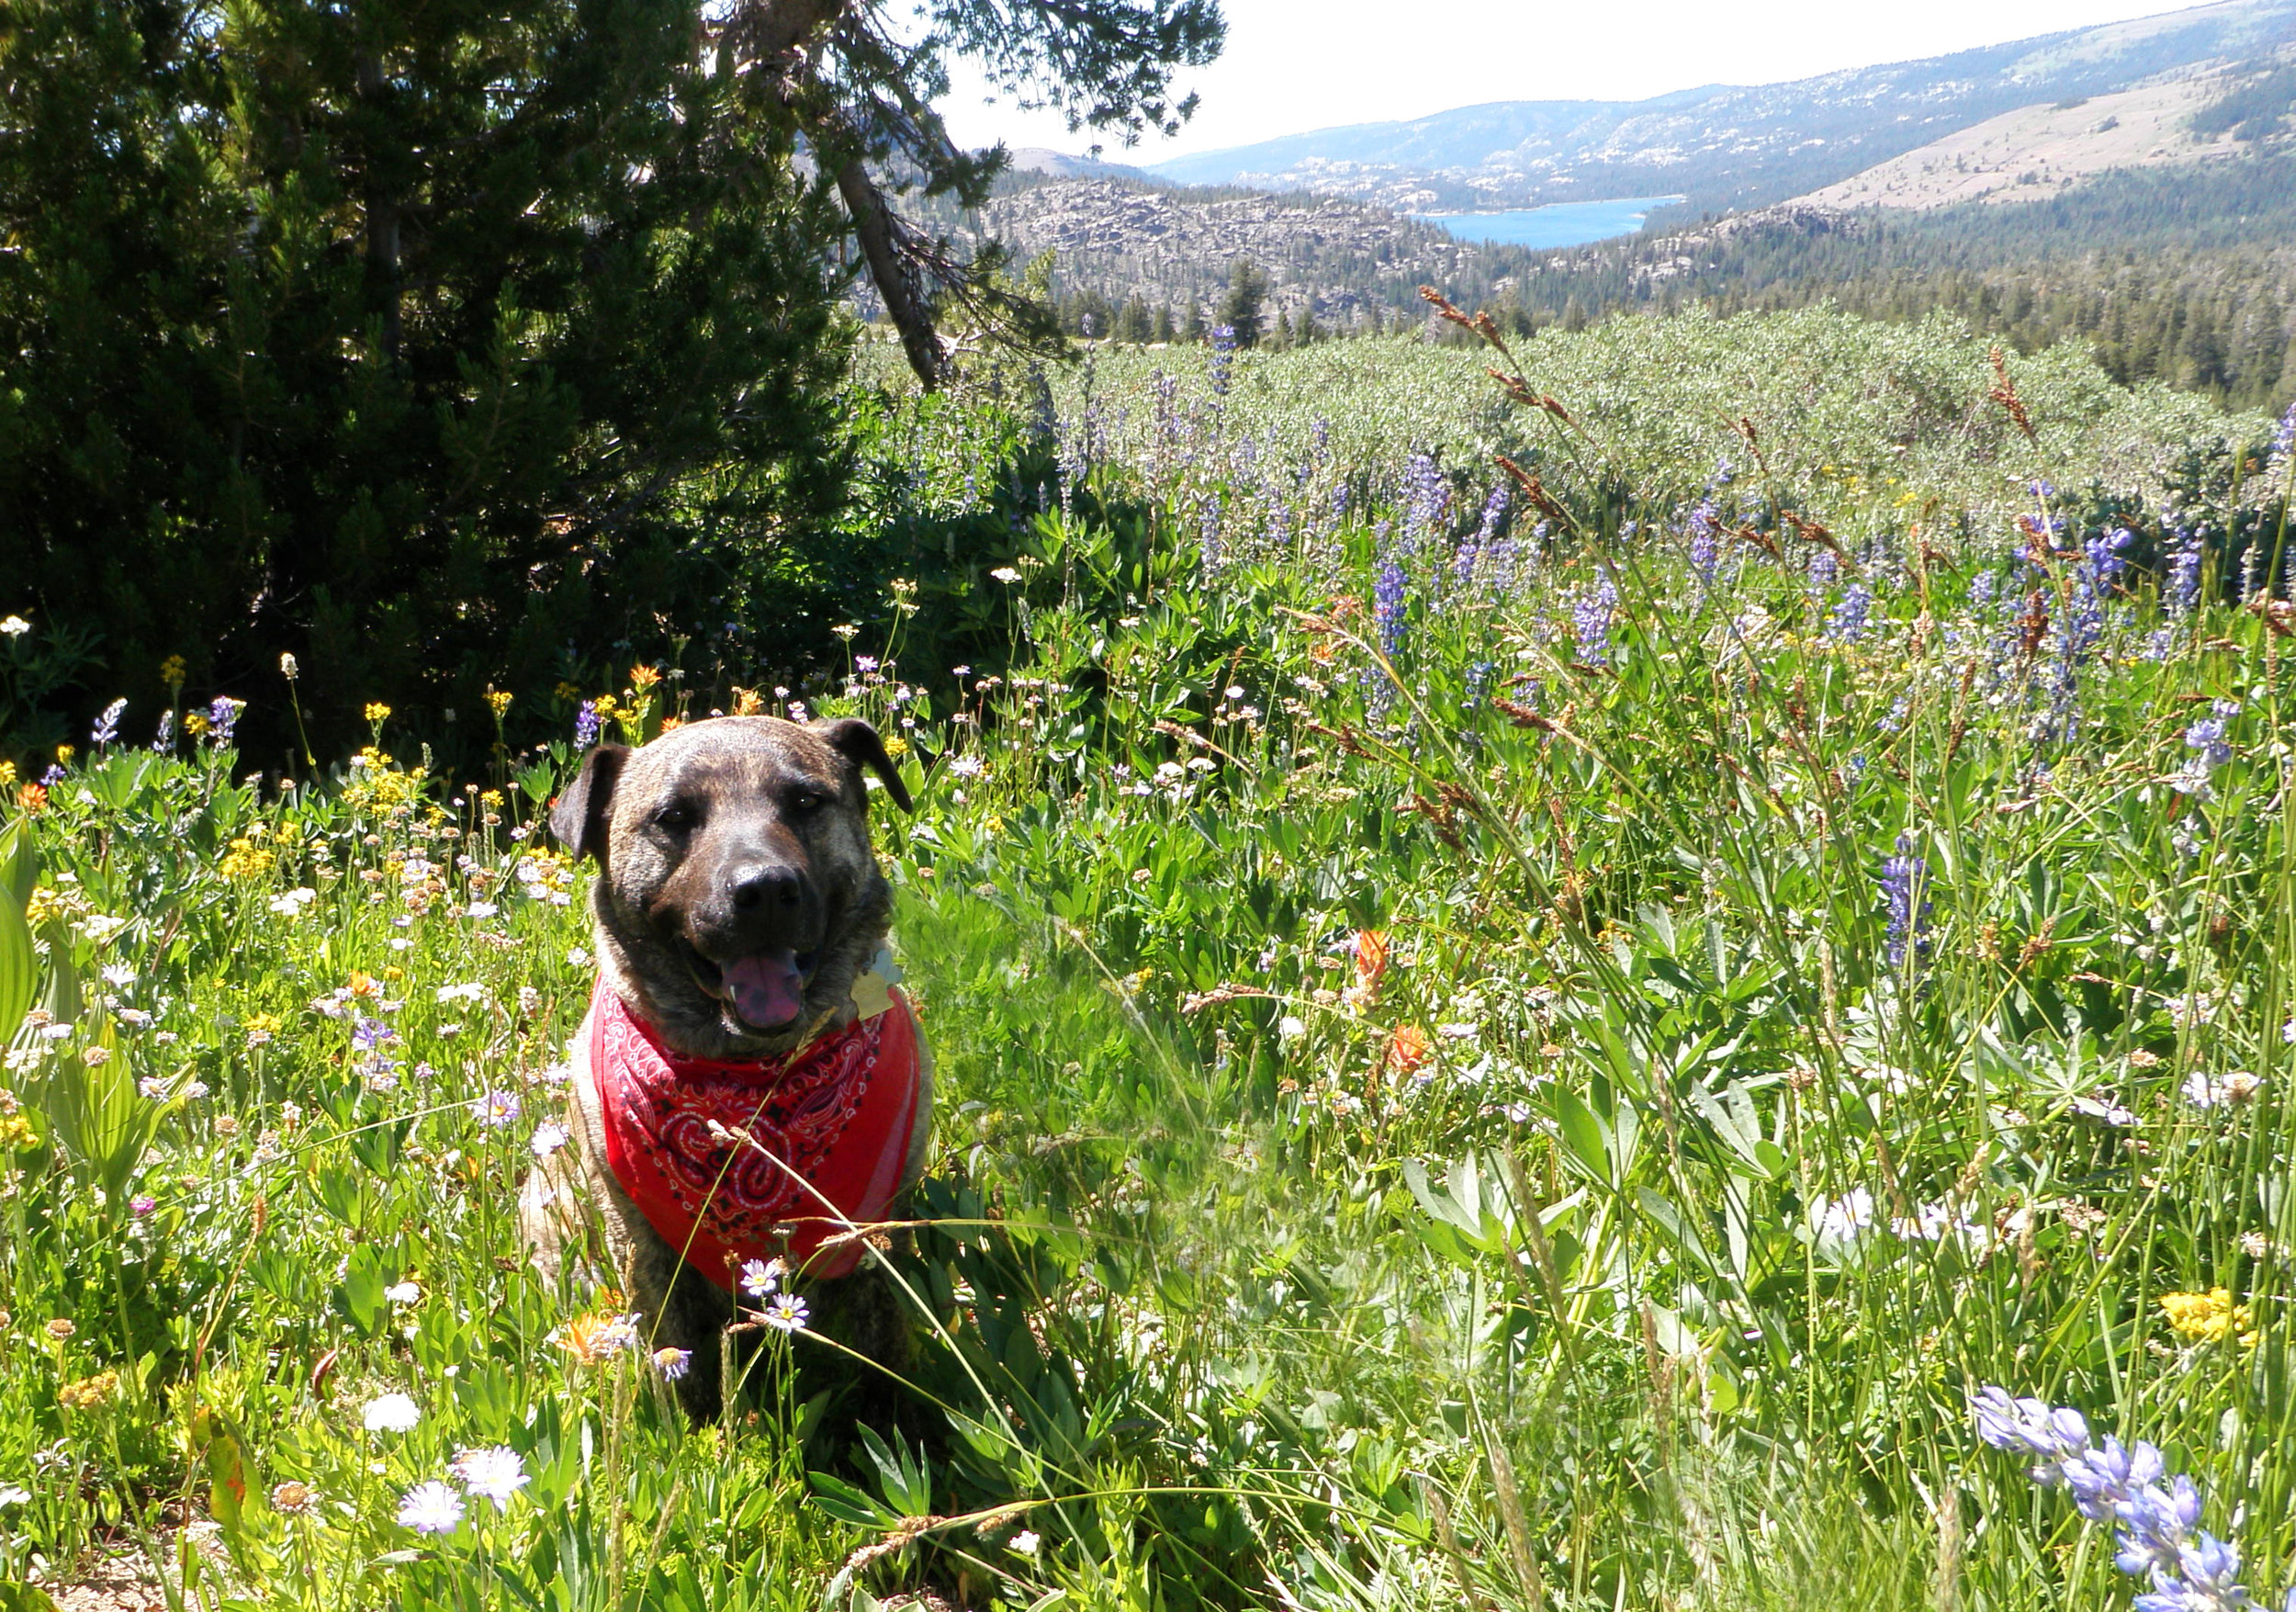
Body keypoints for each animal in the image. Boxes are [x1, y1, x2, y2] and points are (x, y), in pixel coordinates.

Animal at [525, 712, 928, 1424]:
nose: (764, 889)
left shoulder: (879, 1230)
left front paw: (899, 1432)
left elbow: (886, 1349)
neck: (750, 1083)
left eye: (806, 801)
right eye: (674, 816)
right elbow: (678, 1360)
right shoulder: (647, 1248)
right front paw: (694, 1435)